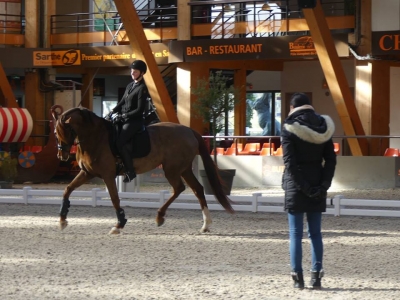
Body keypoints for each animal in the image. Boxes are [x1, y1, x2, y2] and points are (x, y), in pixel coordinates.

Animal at [52, 105, 234, 234]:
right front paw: (62, 221)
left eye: (66, 131)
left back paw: (160, 217)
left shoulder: (108, 175)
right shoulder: (87, 173)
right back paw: (205, 225)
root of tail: (189, 130)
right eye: (55, 133)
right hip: (184, 169)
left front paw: (119, 225)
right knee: (197, 189)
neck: (95, 137)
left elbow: (114, 199)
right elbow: (67, 189)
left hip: (172, 169)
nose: (62, 155)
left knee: (179, 188)